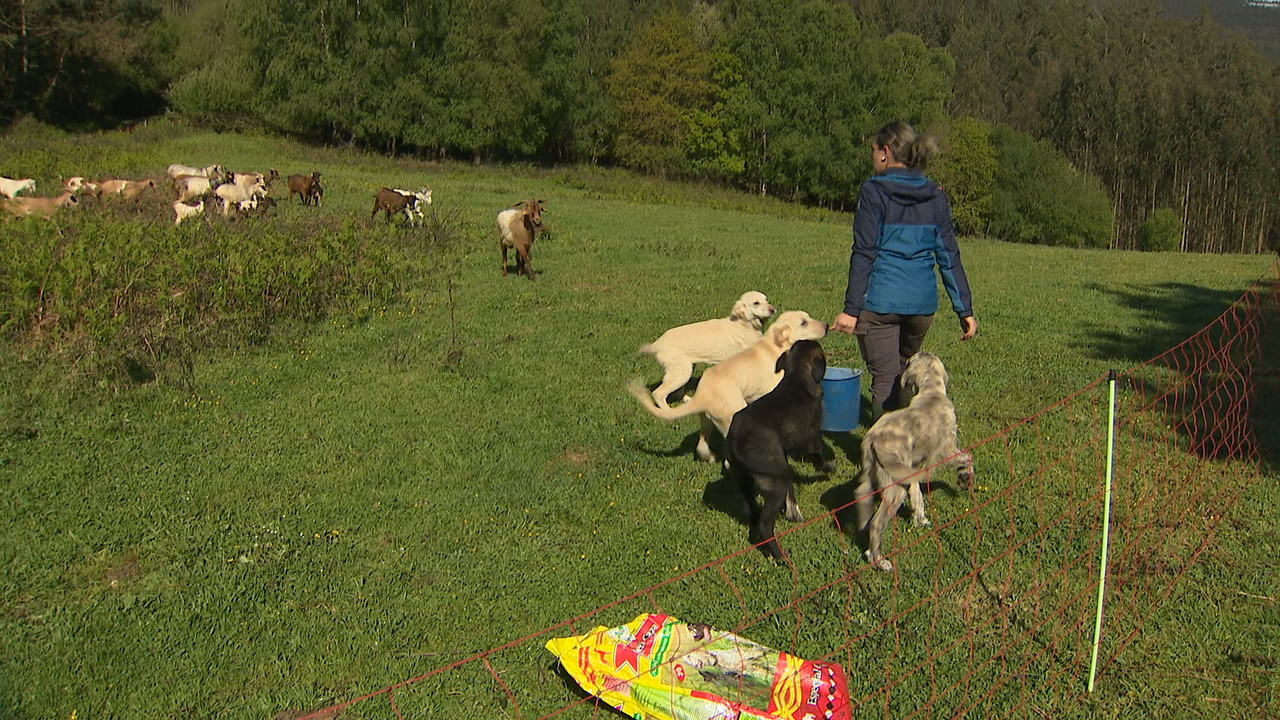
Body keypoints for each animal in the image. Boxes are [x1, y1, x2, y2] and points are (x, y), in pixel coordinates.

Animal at [629, 311, 829, 461]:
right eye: (803, 323)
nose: (827, 326)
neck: (775, 346)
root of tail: (703, 394)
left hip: (707, 420)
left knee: (702, 446)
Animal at [637, 288, 773, 407]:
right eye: (756, 303)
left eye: (767, 300)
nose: (773, 309)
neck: (744, 324)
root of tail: (657, 343)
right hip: (681, 371)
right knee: (658, 393)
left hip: (685, 369)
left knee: (677, 392)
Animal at [727, 338, 834, 558]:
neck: (797, 377)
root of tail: (735, 437)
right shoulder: (812, 436)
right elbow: (818, 456)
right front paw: (828, 468)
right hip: (776, 481)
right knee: (765, 524)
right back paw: (779, 555)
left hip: (747, 480)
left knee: (755, 514)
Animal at [855, 351, 972, 568]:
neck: (931, 393)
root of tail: (873, 438)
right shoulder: (946, 450)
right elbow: (967, 456)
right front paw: (965, 478)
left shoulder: (912, 466)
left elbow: (916, 491)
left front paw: (920, 518)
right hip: (894, 486)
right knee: (876, 523)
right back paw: (880, 561)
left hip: (874, 474)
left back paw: (868, 551)